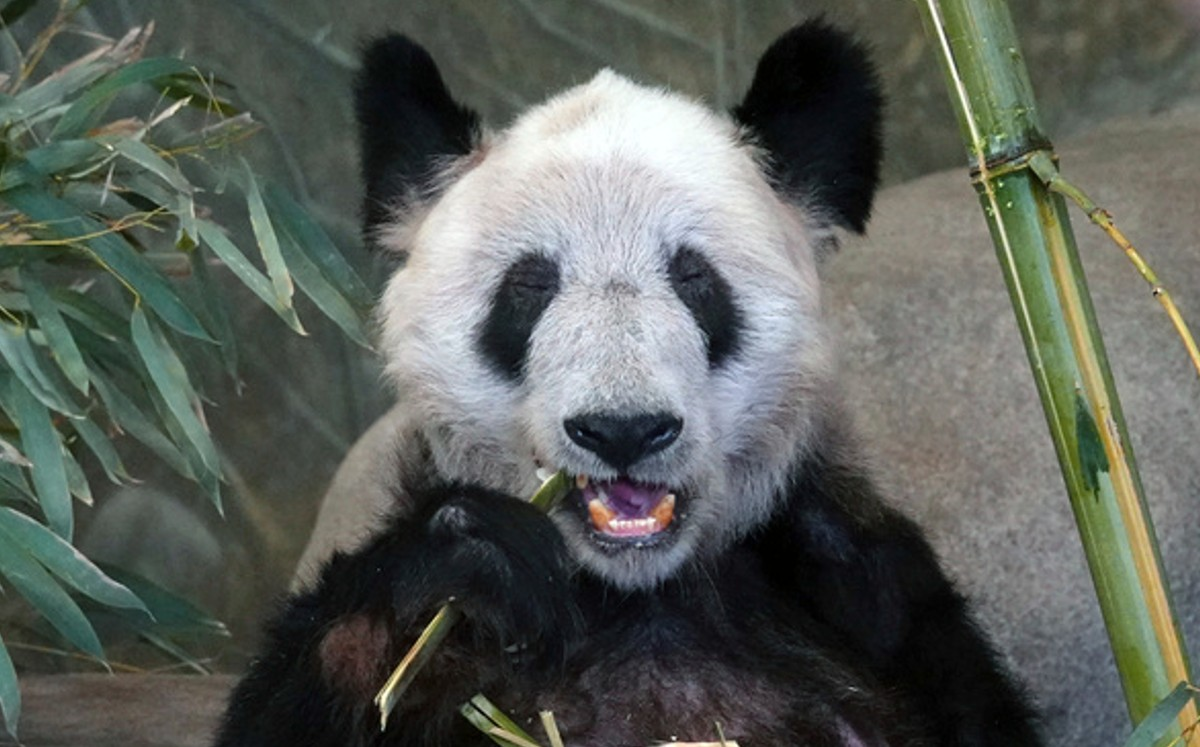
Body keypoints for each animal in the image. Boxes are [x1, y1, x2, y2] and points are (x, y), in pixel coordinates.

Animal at [214, 21, 1043, 747]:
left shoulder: (876, 608)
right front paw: (469, 561)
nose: (623, 430)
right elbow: (299, 693)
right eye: (529, 286)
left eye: (694, 278)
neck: (631, 587)